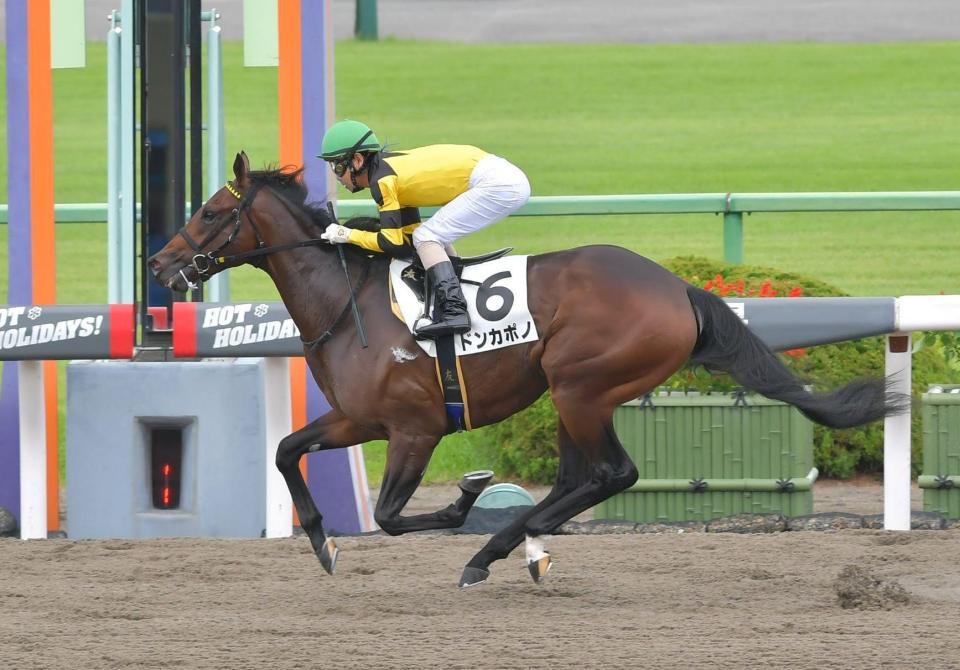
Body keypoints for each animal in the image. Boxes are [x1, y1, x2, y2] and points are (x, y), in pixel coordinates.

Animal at [148, 152, 908, 588]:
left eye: (211, 211)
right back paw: (522, 549)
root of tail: (676, 288)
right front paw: (321, 541)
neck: (346, 299)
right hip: (571, 391)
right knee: (580, 478)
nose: (159, 262)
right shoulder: (359, 417)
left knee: (611, 473)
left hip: (582, 386)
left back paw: (491, 552)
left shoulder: (415, 428)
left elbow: (392, 516)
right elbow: (285, 449)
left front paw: (466, 499)